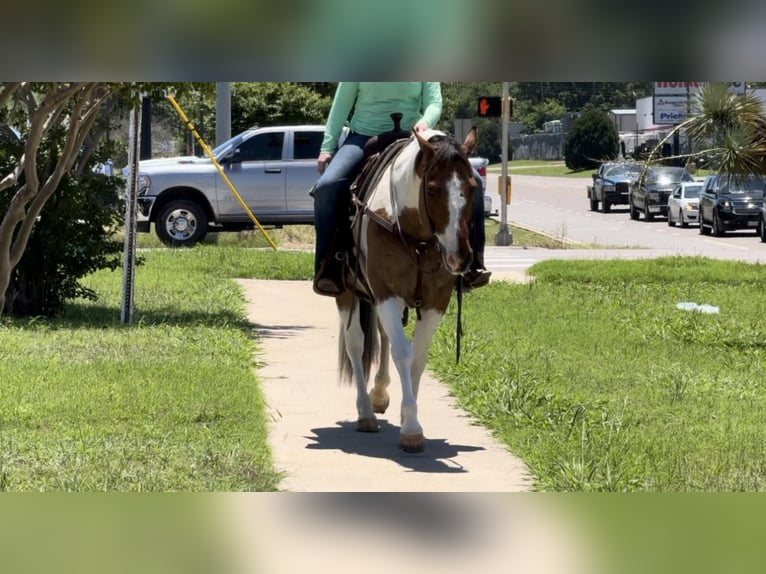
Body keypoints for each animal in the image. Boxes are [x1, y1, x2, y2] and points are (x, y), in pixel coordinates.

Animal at [336, 126, 480, 454]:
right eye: (432, 189)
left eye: (473, 187)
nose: (461, 257)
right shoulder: (385, 292)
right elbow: (402, 352)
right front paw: (412, 429)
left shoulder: (436, 299)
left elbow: (418, 356)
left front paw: (407, 415)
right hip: (348, 294)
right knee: (356, 344)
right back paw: (365, 412)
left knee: (383, 335)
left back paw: (379, 395)